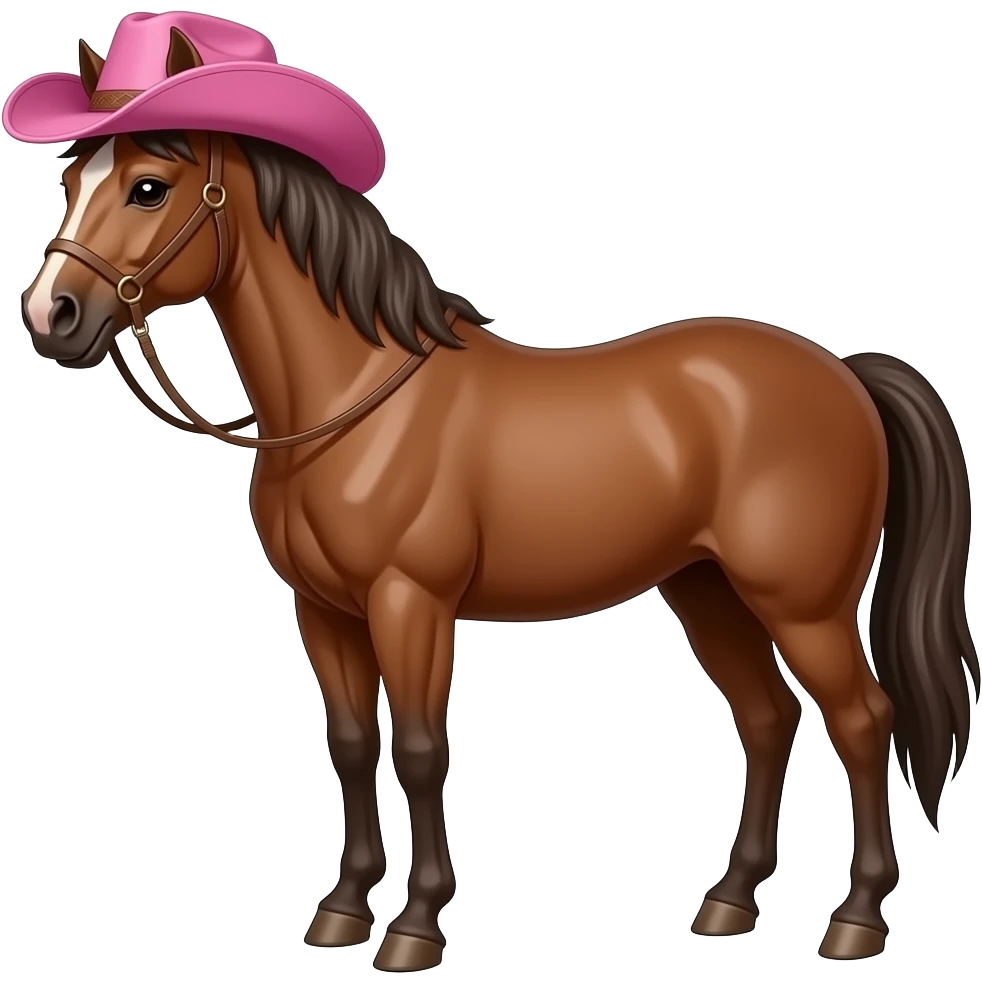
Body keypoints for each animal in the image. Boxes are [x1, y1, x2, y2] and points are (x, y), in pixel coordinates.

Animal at [18, 123, 977, 970]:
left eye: (149, 187)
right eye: (70, 183)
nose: (51, 315)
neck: (357, 399)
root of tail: (846, 371)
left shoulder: (410, 603)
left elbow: (418, 751)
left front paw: (414, 929)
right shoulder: (323, 611)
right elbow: (352, 744)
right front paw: (342, 911)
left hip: (802, 605)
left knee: (863, 720)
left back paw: (855, 920)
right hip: (707, 592)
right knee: (768, 717)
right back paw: (729, 902)